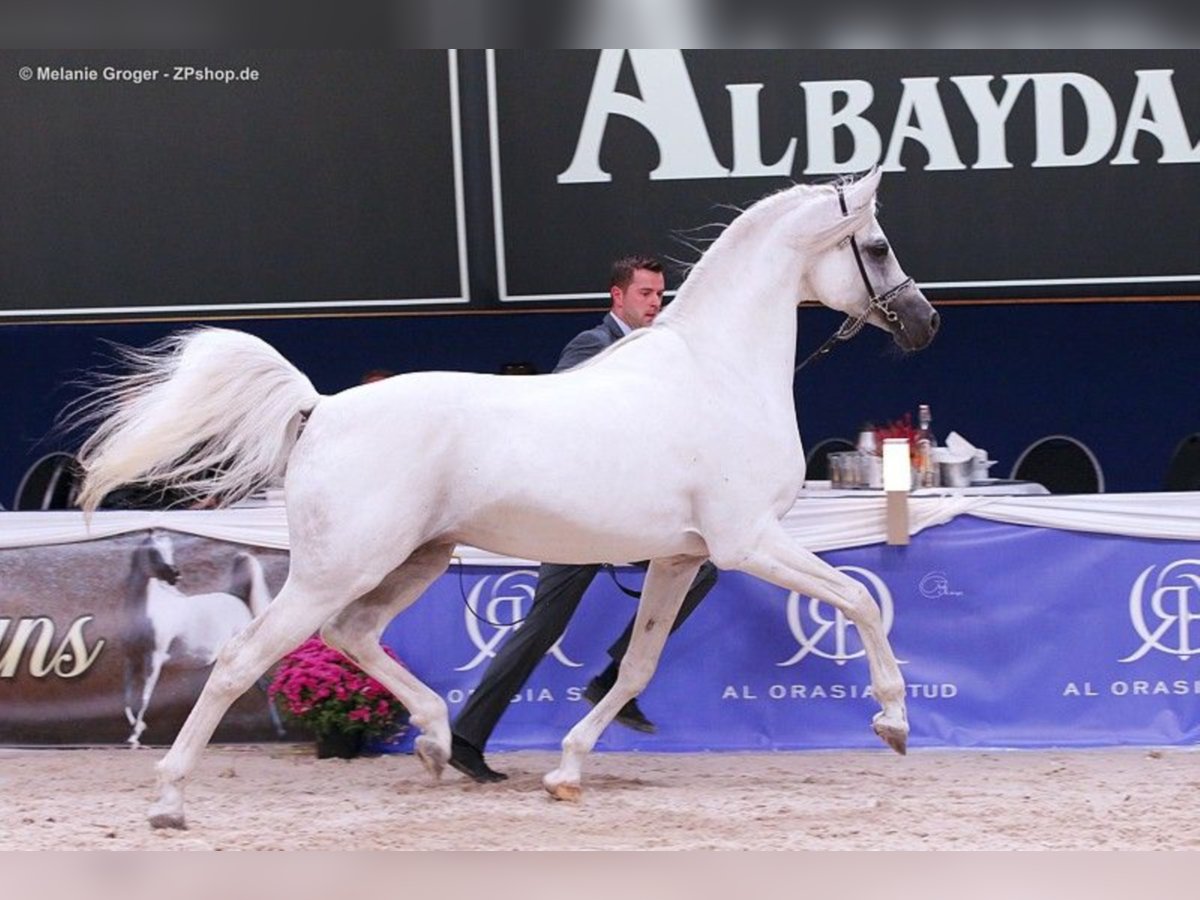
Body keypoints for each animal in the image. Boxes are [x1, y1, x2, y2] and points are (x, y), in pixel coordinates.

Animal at [121, 532, 276, 748]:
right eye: (153, 551)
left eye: (170, 550)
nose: (175, 574)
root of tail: (237, 599)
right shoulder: (131, 659)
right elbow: (127, 698)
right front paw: (136, 729)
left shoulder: (153, 659)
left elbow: (144, 697)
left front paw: (135, 736)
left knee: (262, 686)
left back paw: (279, 731)